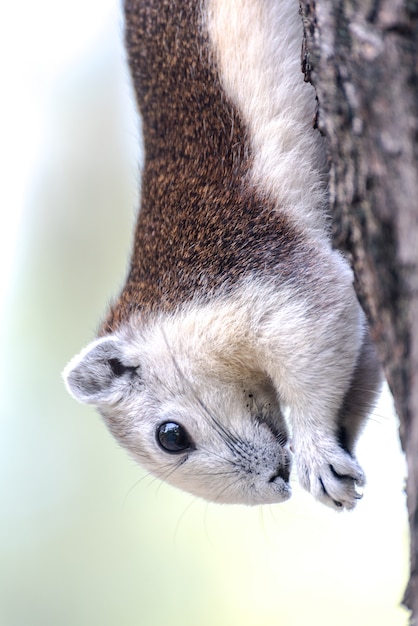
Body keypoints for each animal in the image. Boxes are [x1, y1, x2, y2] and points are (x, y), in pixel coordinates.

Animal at [62, 0, 382, 508]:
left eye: (171, 436)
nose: (276, 483)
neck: (170, 318)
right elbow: (362, 355)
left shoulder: (263, 280)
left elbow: (320, 323)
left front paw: (315, 452)